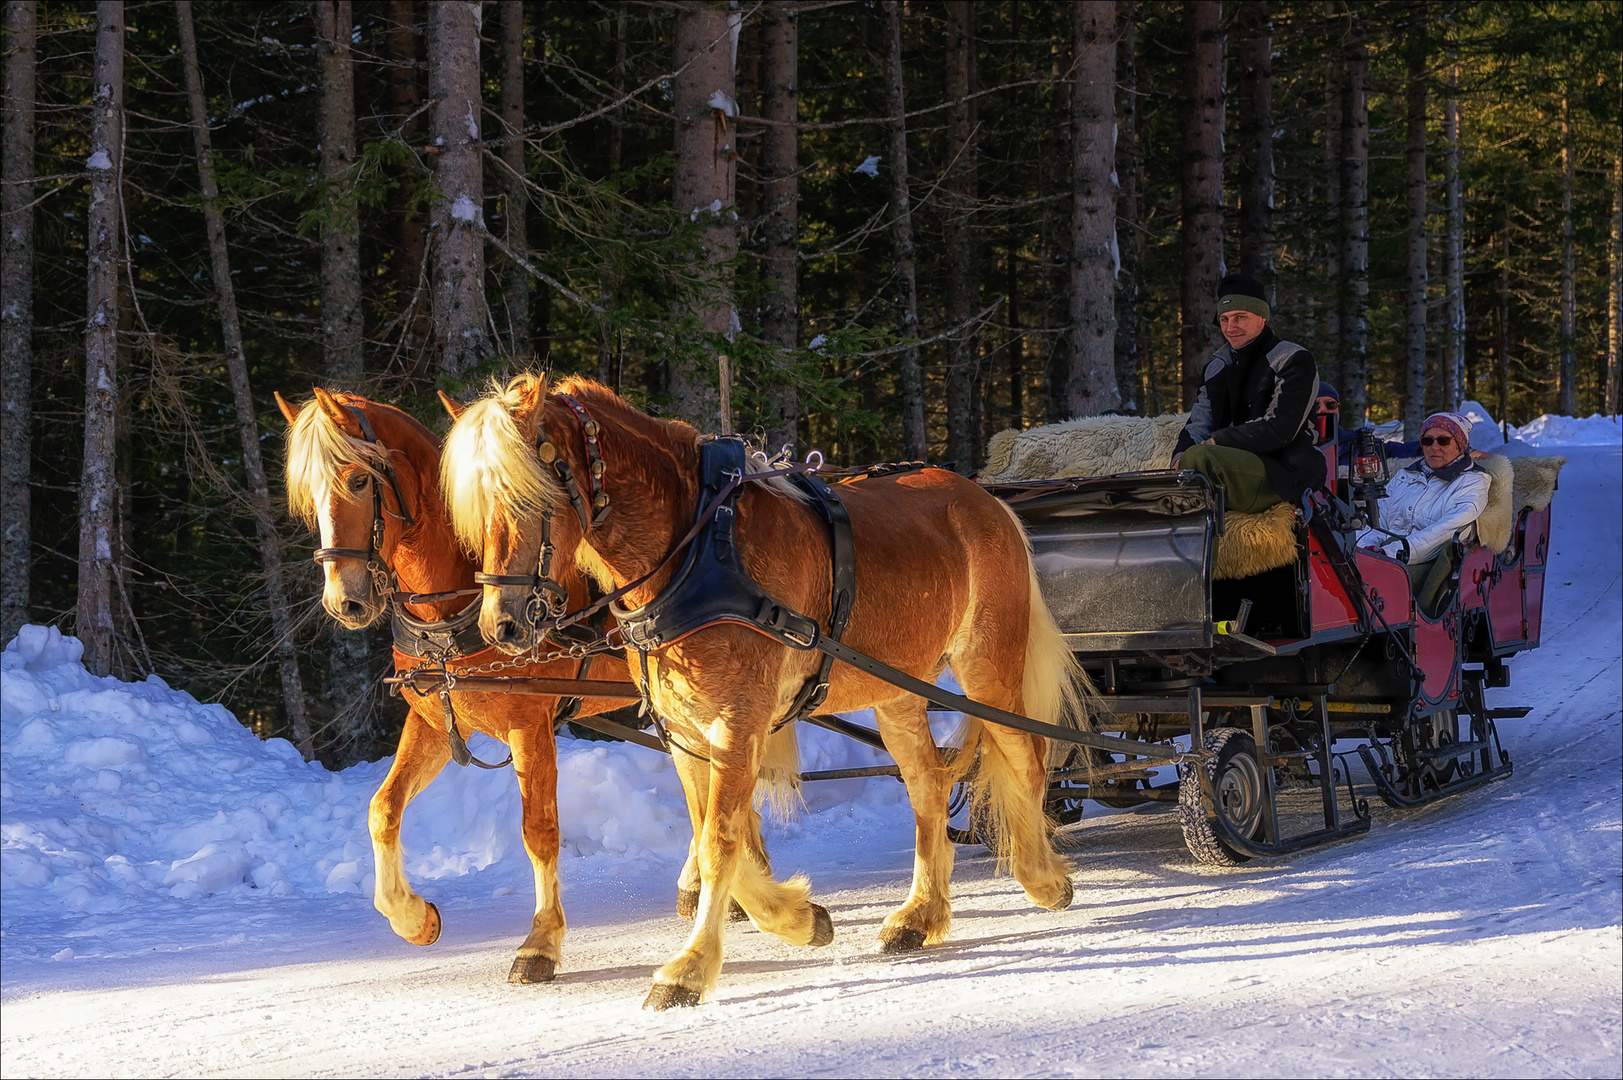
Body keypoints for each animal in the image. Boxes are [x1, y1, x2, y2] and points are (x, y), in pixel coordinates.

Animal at [279, 388, 632, 987]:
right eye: (306, 496)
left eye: (358, 480)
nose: (343, 601)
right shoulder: (433, 721)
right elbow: (383, 809)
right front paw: (413, 918)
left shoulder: (530, 724)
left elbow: (539, 830)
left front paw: (541, 942)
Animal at [441, 375, 1090, 1006]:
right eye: (472, 515)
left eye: (528, 497)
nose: (501, 627)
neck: (697, 554)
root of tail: (988, 500)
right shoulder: (686, 730)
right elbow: (713, 834)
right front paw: (802, 920)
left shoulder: (738, 719)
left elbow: (721, 839)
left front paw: (689, 970)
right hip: (895, 690)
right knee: (928, 786)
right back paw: (919, 916)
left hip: (987, 666)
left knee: (1025, 756)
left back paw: (1043, 877)